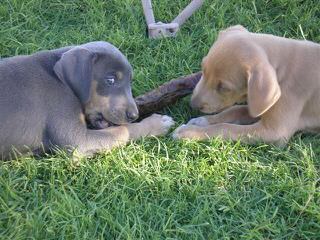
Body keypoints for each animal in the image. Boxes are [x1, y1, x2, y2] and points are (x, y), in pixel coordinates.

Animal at [0, 41, 175, 159]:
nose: (134, 115)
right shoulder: (78, 141)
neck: (64, 82)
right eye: (110, 80)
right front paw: (157, 123)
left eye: (130, 81)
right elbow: (122, 130)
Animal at [172, 24, 320, 144]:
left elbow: (226, 127)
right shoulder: (257, 104)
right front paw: (202, 121)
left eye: (224, 87)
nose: (192, 105)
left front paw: (189, 132)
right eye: (203, 70)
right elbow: (234, 110)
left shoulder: (274, 131)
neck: (281, 71)